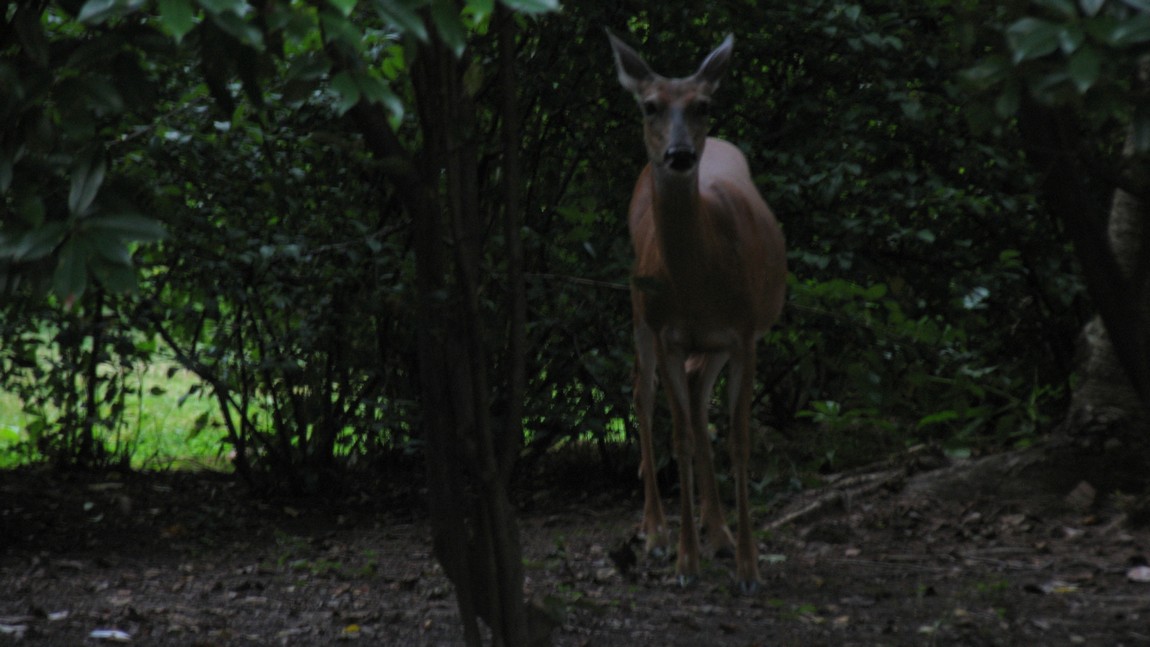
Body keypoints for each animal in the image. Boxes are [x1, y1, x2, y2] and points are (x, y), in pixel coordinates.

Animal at [608, 31, 787, 593]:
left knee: (696, 394)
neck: (698, 280)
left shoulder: (745, 333)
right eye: (649, 105)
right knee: (643, 396)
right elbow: (682, 437)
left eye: (704, 104)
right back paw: (657, 532)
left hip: (717, 344)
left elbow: (738, 441)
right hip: (638, 310)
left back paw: (721, 532)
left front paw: (749, 566)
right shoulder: (668, 331)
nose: (680, 154)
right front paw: (685, 561)